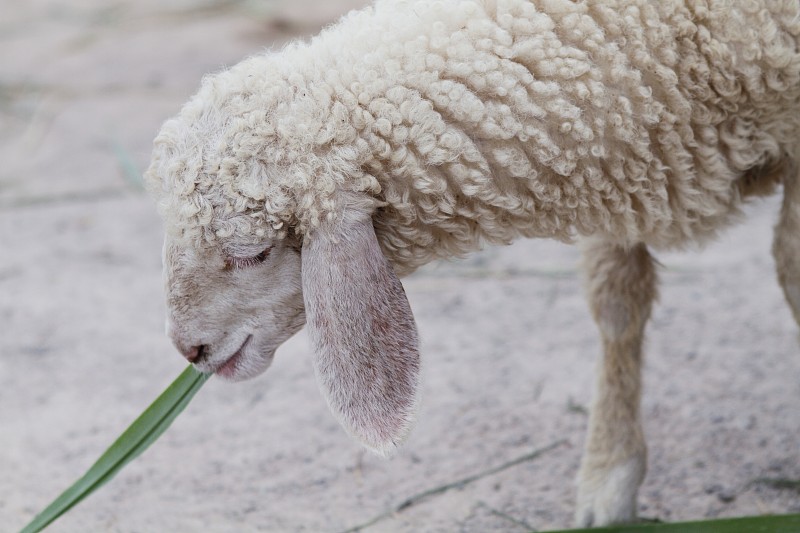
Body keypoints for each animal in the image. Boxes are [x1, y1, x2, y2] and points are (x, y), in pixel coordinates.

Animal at [144, 0, 800, 524]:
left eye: (252, 253)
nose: (189, 350)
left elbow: (790, 269)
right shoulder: (624, 165)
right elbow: (617, 302)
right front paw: (607, 480)